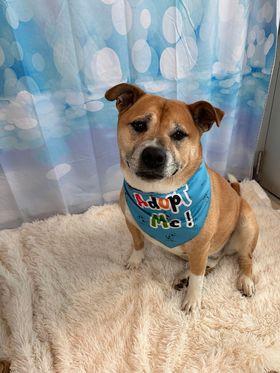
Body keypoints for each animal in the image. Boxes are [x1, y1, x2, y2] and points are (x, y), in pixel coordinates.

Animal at [106, 83, 260, 312]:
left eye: (179, 134)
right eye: (139, 124)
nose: (153, 155)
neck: (159, 196)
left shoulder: (201, 244)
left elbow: (198, 276)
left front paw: (193, 299)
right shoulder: (130, 220)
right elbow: (138, 242)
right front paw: (136, 259)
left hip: (246, 224)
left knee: (244, 258)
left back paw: (246, 280)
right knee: (213, 261)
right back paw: (184, 276)